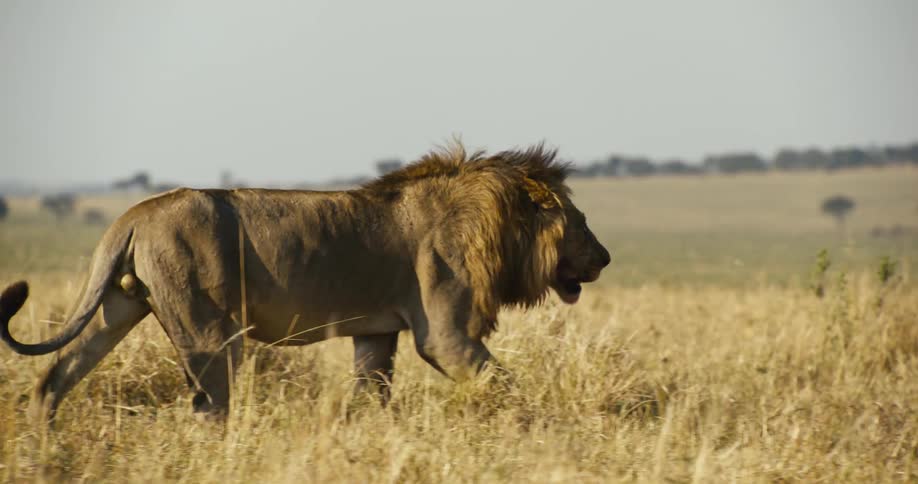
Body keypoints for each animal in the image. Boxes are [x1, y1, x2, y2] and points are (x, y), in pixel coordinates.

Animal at [0, 143, 610, 422]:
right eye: (581, 224)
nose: (605, 257)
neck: (498, 225)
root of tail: (133, 214)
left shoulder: (376, 334)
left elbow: (371, 393)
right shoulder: (446, 337)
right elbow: (503, 383)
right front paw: (538, 422)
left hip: (117, 309)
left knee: (55, 376)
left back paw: (40, 449)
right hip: (208, 334)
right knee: (207, 407)